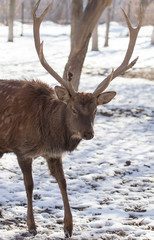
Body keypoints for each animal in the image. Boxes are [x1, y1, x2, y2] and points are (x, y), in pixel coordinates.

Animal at [0, 0, 142, 238]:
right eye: (73, 109)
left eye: (95, 110)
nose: (88, 133)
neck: (47, 134)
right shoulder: (22, 149)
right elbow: (29, 185)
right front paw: (31, 225)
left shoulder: (53, 154)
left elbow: (63, 182)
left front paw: (68, 227)